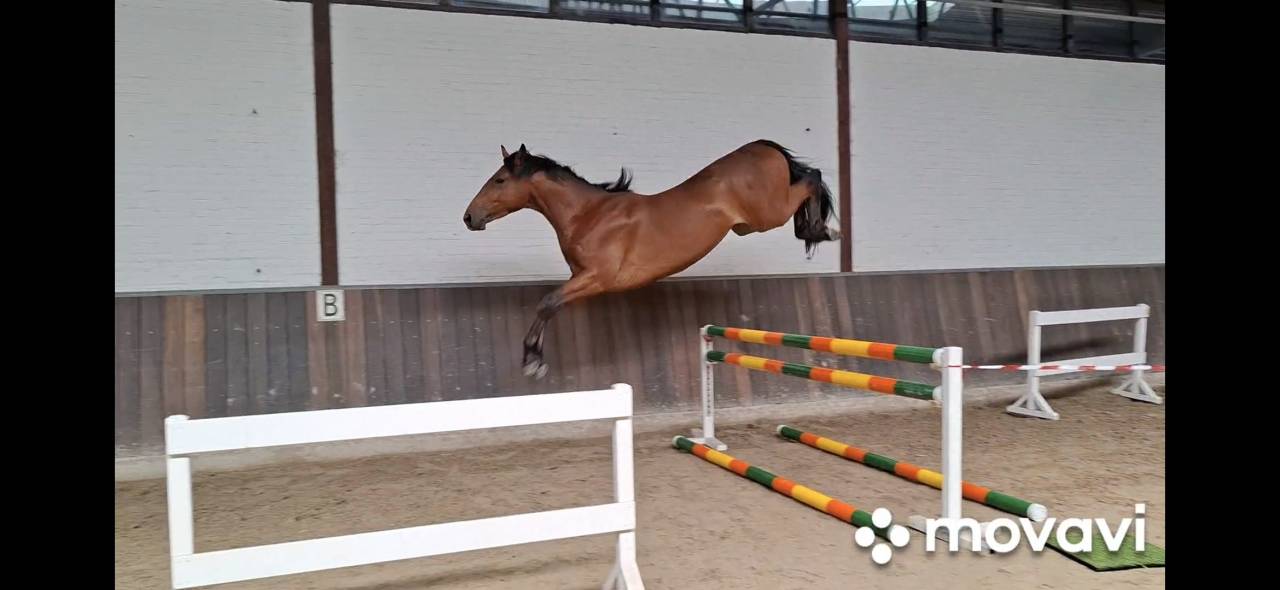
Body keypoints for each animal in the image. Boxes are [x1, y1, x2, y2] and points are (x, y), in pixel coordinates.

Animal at [463, 140, 839, 378]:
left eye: (499, 180)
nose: (469, 217)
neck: (589, 214)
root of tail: (762, 146)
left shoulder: (596, 278)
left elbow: (547, 303)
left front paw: (533, 362)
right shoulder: (581, 277)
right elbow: (550, 304)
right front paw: (533, 360)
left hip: (765, 215)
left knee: (813, 178)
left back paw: (821, 230)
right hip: (751, 225)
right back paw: (816, 230)